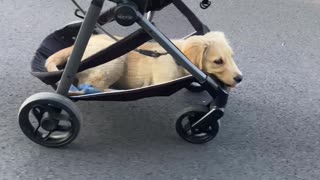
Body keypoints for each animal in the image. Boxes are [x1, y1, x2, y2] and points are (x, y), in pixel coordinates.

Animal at [44, 31, 240, 91]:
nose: (240, 78)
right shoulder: (162, 80)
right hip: (114, 62)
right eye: (218, 61)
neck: (177, 58)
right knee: (89, 86)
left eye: (232, 57)